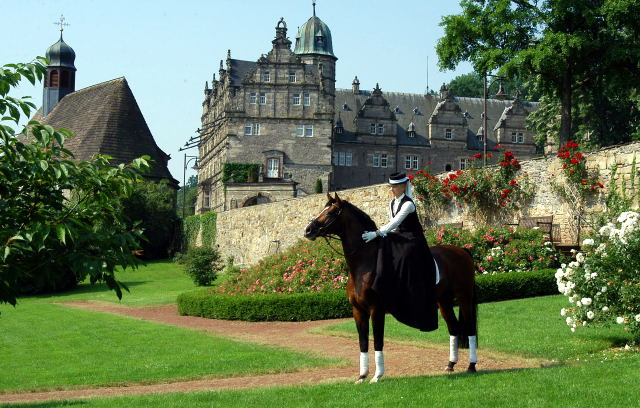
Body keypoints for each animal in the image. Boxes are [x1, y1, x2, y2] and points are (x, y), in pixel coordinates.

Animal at [304, 193, 480, 384]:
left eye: (331, 212)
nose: (308, 230)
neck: (364, 263)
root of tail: (462, 250)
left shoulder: (376, 309)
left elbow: (377, 341)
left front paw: (377, 376)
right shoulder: (358, 310)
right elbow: (363, 342)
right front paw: (362, 376)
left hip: (464, 297)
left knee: (470, 328)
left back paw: (471, 366)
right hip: (444, 301)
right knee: (454, 328)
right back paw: (450, 365)